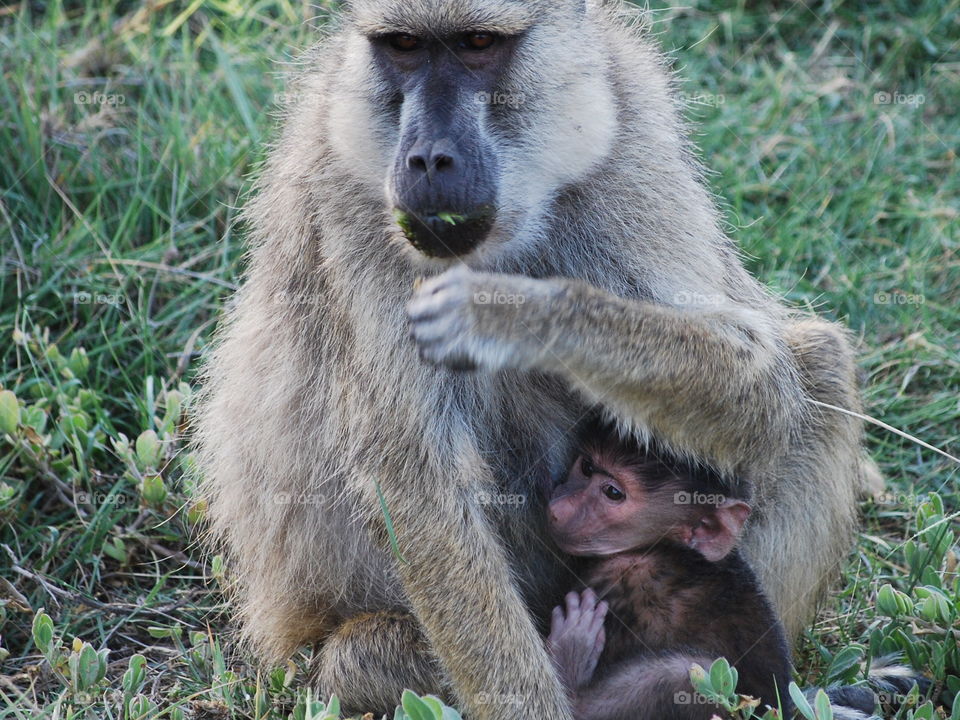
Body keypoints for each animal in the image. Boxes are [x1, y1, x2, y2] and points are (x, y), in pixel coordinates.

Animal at [544, 421, 792, 720]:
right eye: (587, 467)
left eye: (613, 493)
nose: (557, 509)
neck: (667, 547)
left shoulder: (623, 575)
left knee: (686, 673)